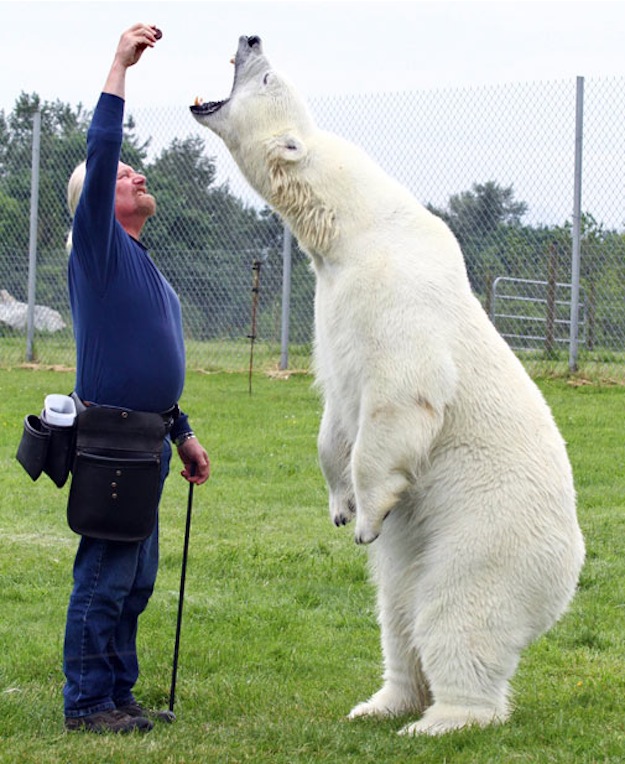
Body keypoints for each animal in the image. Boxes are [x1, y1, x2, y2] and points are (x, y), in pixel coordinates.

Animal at [191, 34, 584, 736]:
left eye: (266, 79)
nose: (249, 37)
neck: (355, 225)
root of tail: (573, 565)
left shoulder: (394, 293)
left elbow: (401, 395)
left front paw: (367, 517)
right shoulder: (329, 300)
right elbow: (335, 410)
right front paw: (340, 502)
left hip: (490, 530)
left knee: (457, 610)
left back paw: (443, 718)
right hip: (428, 549)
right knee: (397, 609)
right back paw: (381, 702)